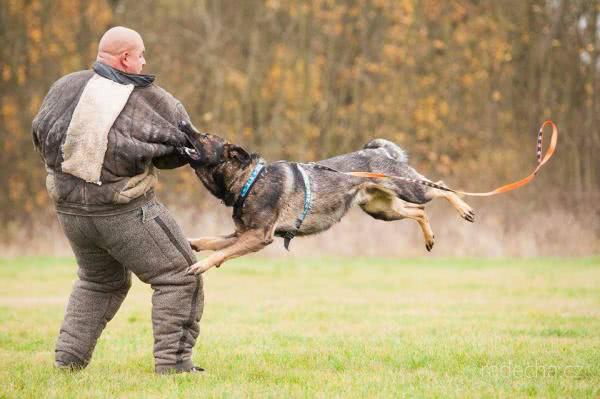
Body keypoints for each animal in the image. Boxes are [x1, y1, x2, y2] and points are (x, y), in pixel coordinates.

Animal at [177, 120, 474, 276]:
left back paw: (465, 210)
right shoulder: (241, 234)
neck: (249, 181)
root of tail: (378, 152)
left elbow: (221, 252)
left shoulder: (258, 236)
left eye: (204, 135)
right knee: (419, 211)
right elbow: (210, 241)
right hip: (381, 210)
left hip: (408, 189)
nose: (182, 122)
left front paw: (201, 265)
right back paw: (429, 238)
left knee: (441, 187)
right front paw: (191, 243)